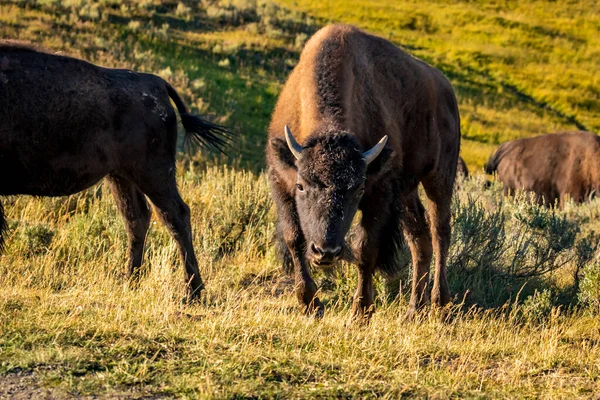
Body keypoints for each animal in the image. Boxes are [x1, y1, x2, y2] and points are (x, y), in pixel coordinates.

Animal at [0, 43, 231, 300]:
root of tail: (157, 83)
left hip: (153, 174)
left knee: (175, 216)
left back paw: (192, 293)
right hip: (121, 176)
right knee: (137, 217)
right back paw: (130, 279)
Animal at [266, 24, 460, 322]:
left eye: (357, 189)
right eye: (301, 186)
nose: (327, 251)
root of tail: (447, 90)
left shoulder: (378, 193)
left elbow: (365, 248)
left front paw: (360, 311)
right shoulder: (280, 181)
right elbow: (293, 237)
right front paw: (310, 304)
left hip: (439, 177)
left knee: (440, 233)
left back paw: (440, 302)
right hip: (407, 192)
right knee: (420, 240)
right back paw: (413, 310)